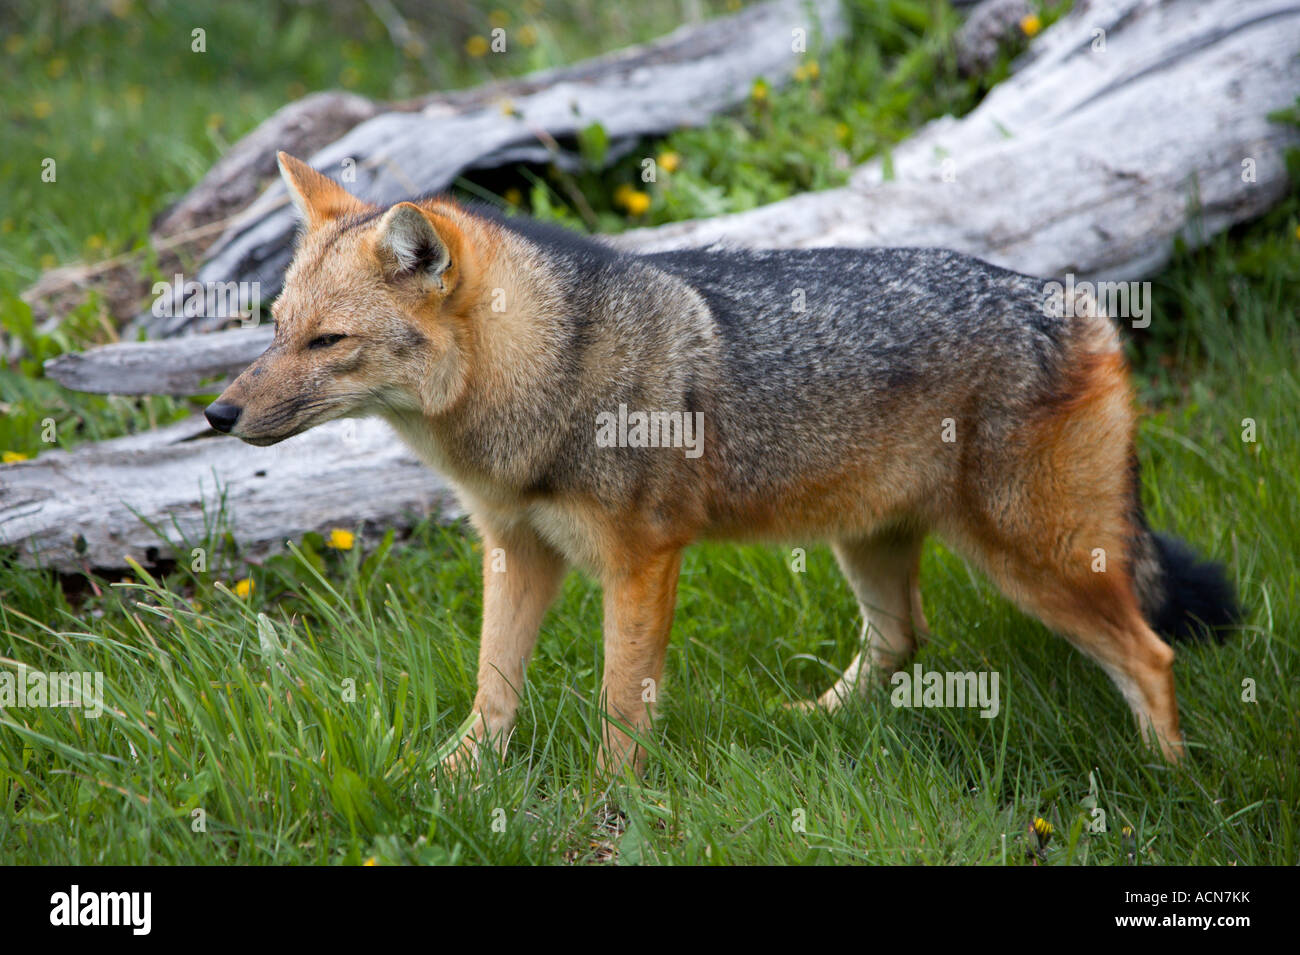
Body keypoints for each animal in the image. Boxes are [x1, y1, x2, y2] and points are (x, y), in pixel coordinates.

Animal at [206, 152, 1238, 774]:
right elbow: (491, 689)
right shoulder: (516, 549)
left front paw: (608, 802)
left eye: (328, 341)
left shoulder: (640, 562)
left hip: (1036, 564)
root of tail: (1079, 303)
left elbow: (621, 701)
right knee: (905, 638)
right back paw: (809, 721)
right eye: (276, 330)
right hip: (870, 543)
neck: (550, 376)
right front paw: (456, 781)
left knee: (1149, 654)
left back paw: (1165, 782)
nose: (218, 413)